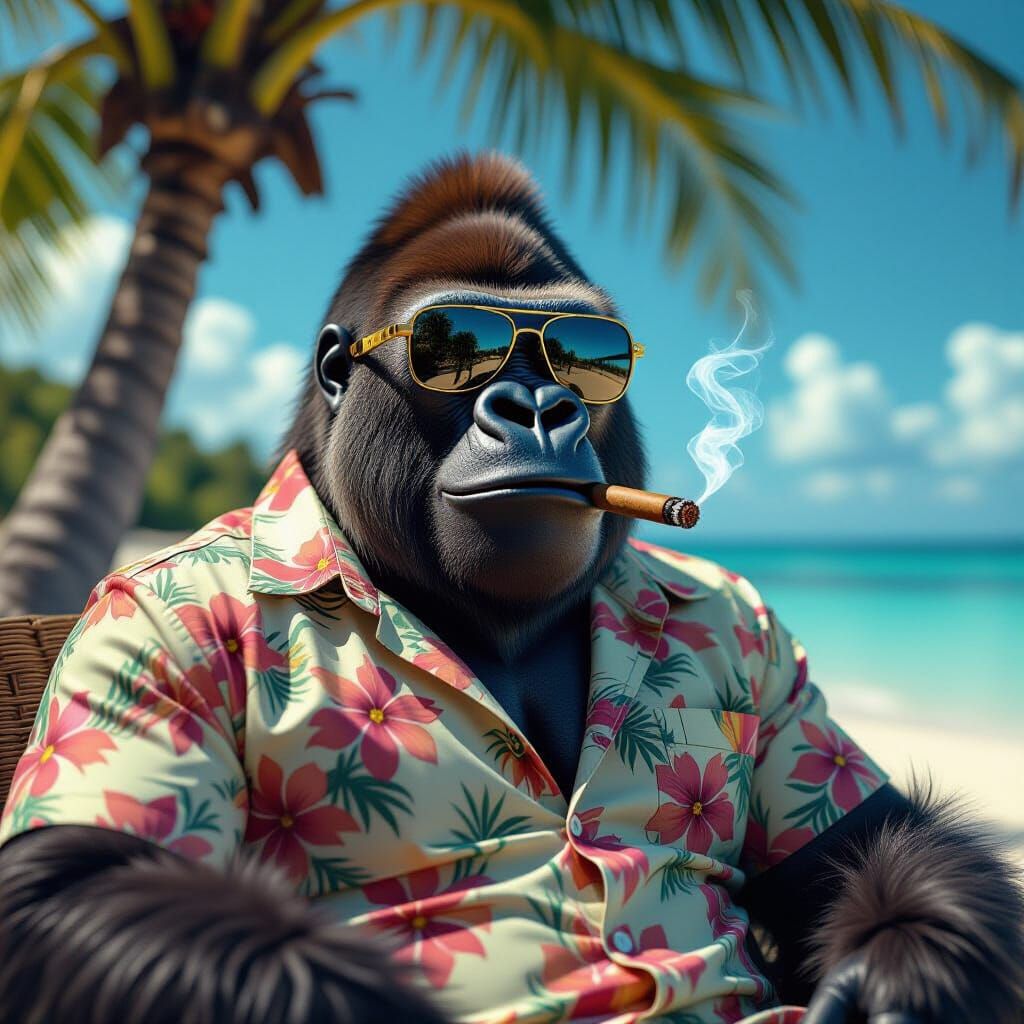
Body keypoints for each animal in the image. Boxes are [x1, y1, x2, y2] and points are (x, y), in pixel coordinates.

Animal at [0, 153, 1021, 1024]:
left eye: (588, 353)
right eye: (457, 344)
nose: (540, 406)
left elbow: (859, 845)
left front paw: (896, 979)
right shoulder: (134, 622)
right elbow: (76, 883)